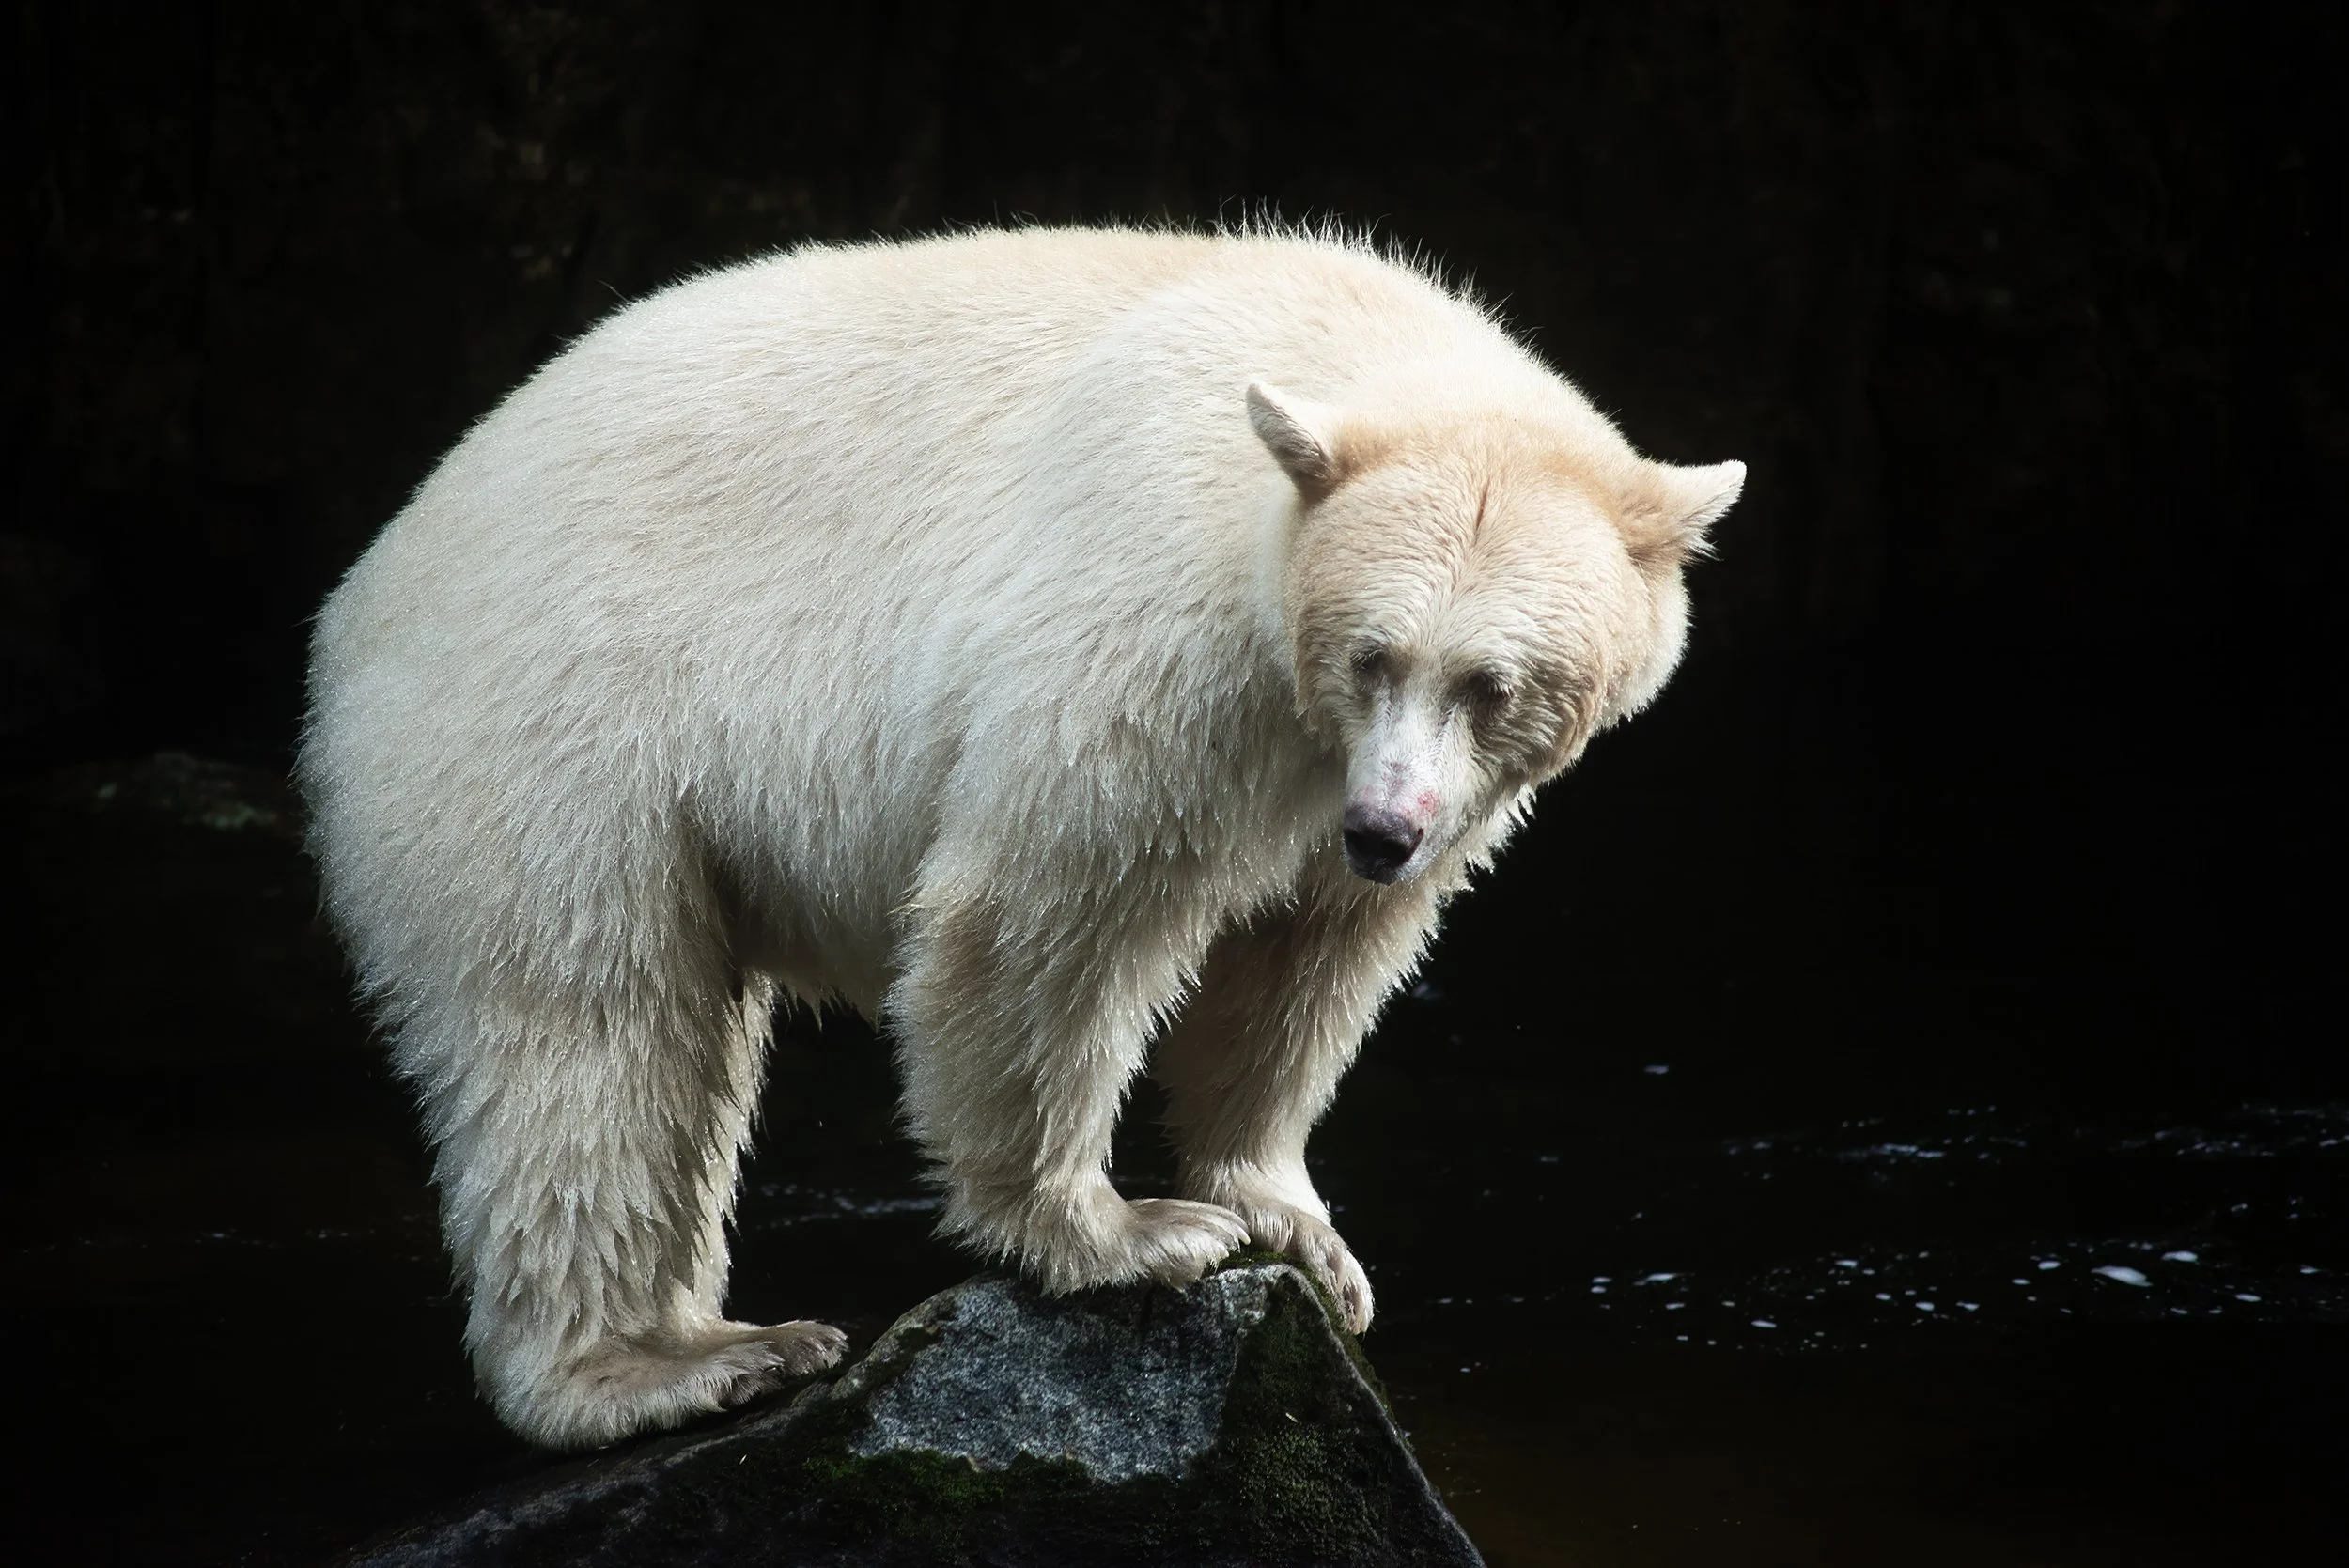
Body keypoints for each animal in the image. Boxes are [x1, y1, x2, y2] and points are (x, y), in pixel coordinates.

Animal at [298, 225, 1743, 1449]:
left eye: (1493, 684)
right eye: (1372, 653)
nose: (1384, 828)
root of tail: (370, 584)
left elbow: (1307, 960)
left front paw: (1299, 1229)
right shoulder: (1158, 610)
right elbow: (1047, 903)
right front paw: (1127, 1230)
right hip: (553, 726)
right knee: (585, 1026)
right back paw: (670, 1362)